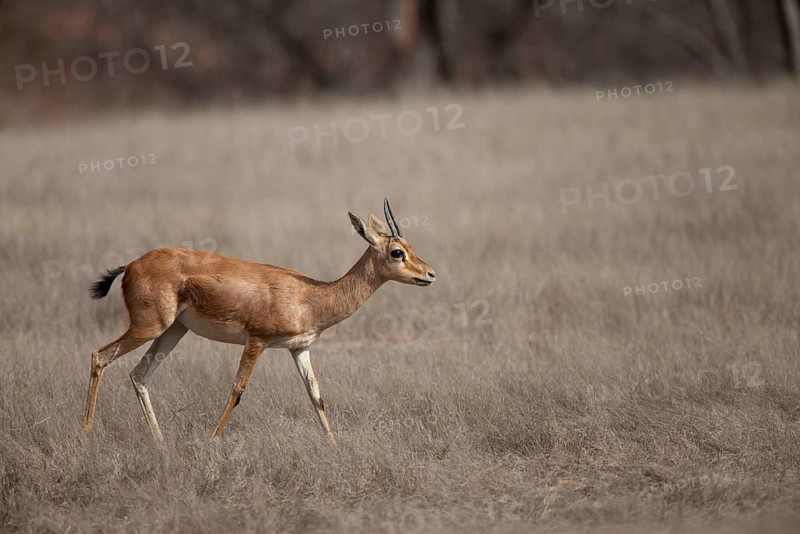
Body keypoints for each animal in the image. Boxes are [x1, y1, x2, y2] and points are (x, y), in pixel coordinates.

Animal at [83, 200, 435, 445]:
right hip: (150, 326)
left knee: (139, 374)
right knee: (100, 356)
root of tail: (131, 264)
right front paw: (213, 442)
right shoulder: (257, 341)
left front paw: (335, 448)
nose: (430, 274)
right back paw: (86, 434)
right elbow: (237, 390)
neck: (312, 296)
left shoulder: (299, 349)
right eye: (397, 252)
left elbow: (316, 397)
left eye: (411, 247)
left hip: (173, 331)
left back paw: (159, 442)